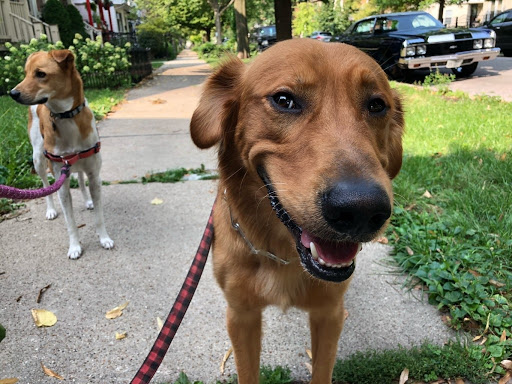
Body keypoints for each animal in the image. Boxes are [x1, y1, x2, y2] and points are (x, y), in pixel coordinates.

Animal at [9, 48, 114, 258]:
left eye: (40, 74)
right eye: (25, 73)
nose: (12, 93)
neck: (67, 116)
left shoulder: (94, 176)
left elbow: (99, 216)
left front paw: (104, 238)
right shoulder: (61, 182)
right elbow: (70, 221)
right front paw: (74, 246)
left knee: (80, 178)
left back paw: (87, 200)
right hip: (38, 159)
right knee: (45, 185)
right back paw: (50, 209)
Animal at [190, 39, 402, 384]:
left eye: (376, 105)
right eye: (284, 100)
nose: (361, 209)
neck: (281, 252)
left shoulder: (329, 313)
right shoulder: (241, 315)